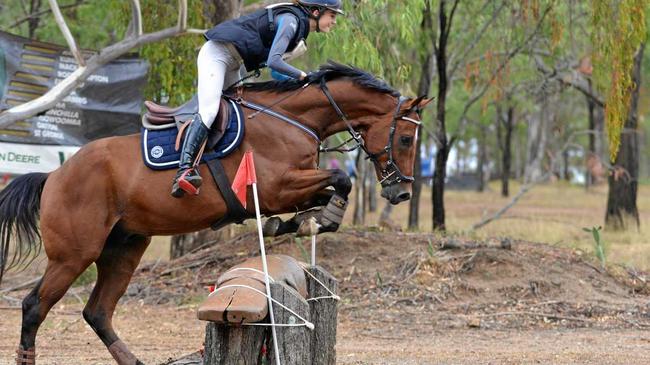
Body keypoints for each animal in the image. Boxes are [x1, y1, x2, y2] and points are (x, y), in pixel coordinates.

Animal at [1, 61, 430, 362]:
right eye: (407, 139)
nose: (401, 192)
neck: (294, 119)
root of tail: (54, 175)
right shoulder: (274, 186)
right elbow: (340, 181)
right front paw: (317, 219)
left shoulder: (288, 187)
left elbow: (330, 189)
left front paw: (299, 223)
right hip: (75, 253)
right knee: (34, 306)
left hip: (125, 248)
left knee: (98, 312)